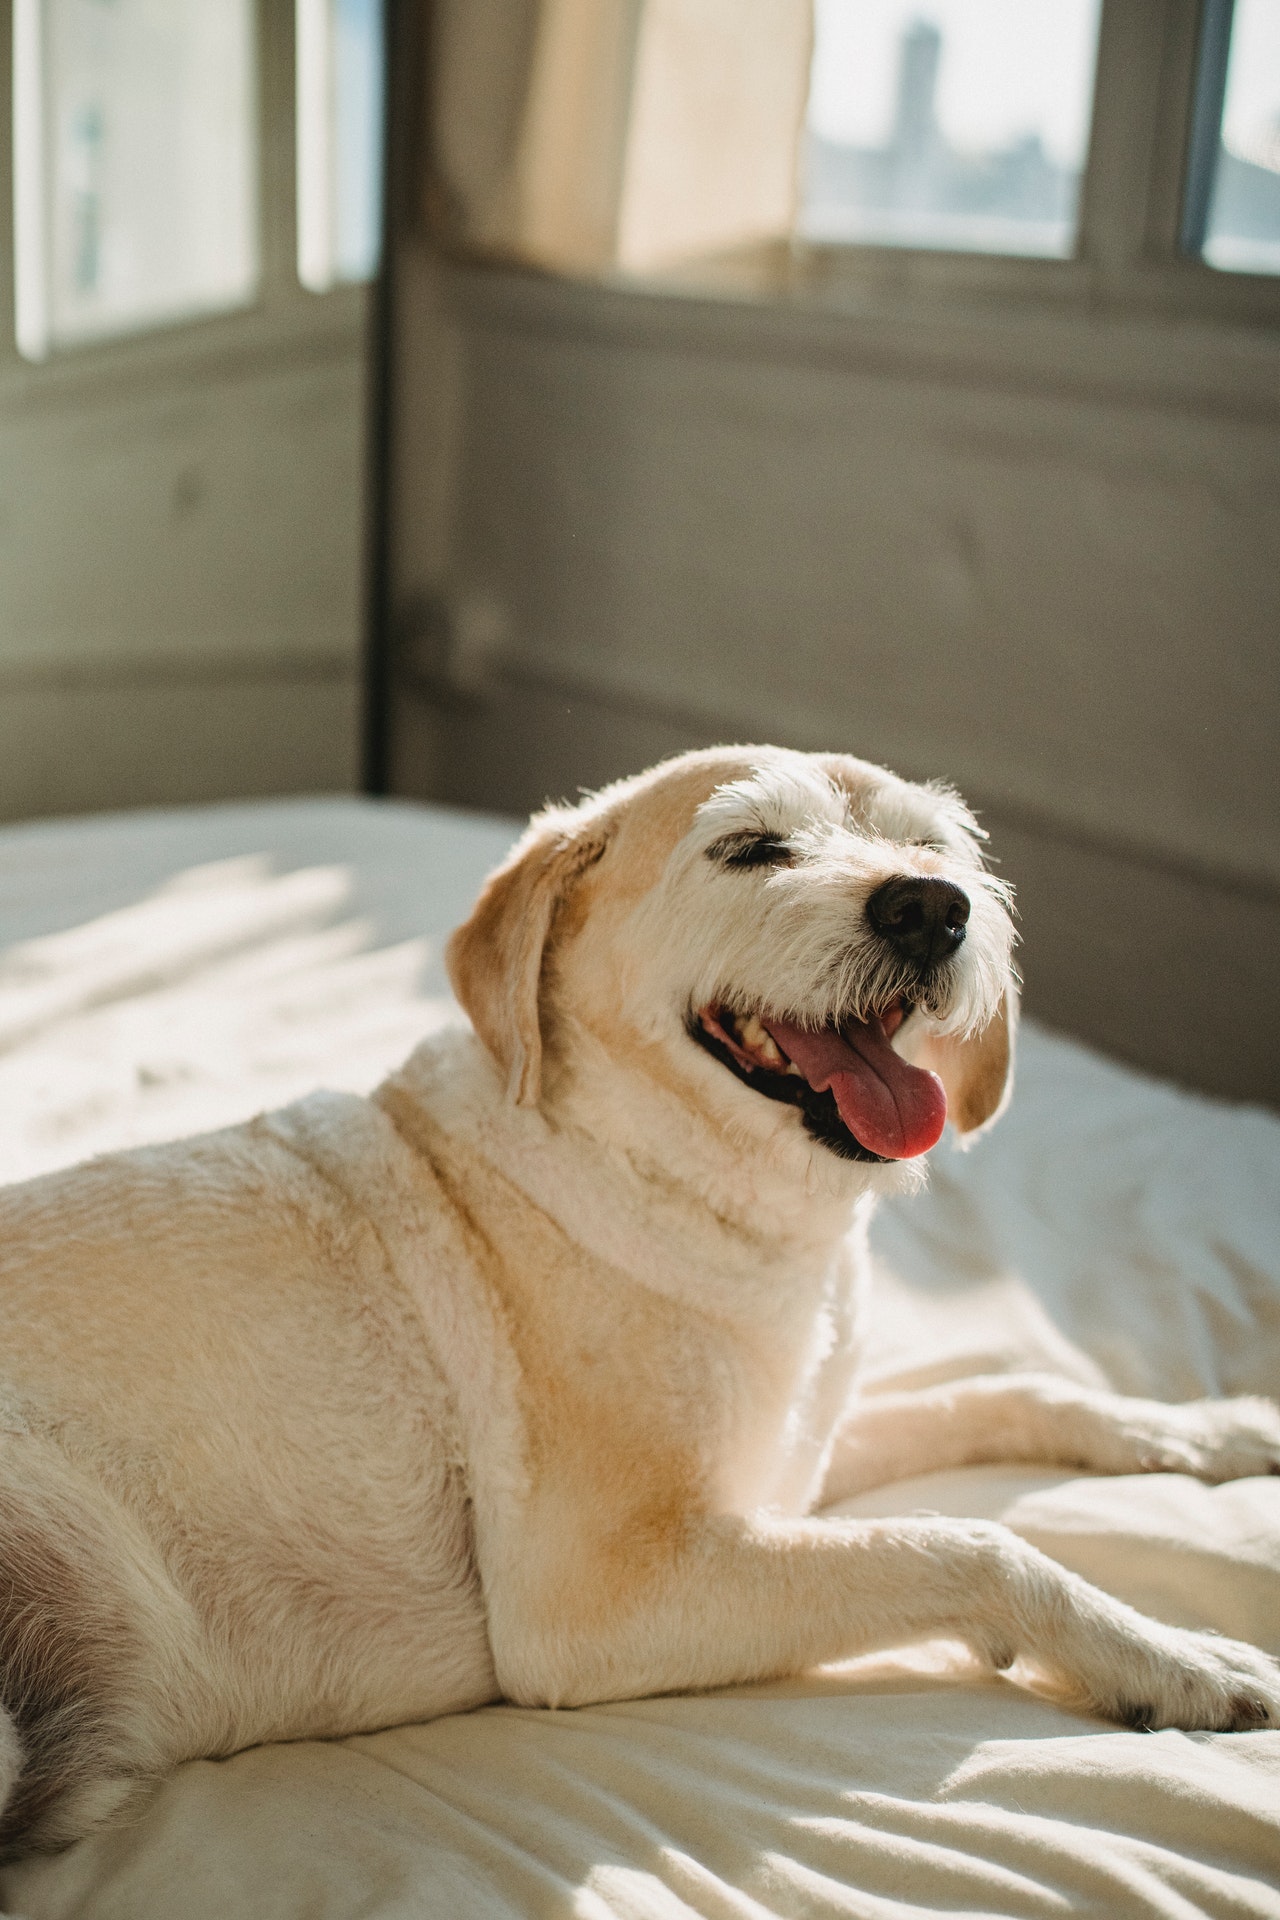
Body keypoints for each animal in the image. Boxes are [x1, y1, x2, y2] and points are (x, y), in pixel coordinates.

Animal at [2, 748, 1280, 1858]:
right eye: (752, 848)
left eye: (929, 848)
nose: (932, 907)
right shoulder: (608, 1600)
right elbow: (972, 1545)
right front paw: (1177, 1661)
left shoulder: (784, 1463)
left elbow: (1013, 1391)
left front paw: (1210, 1430)